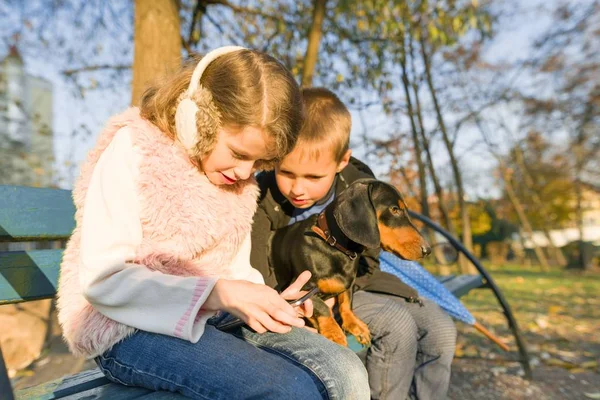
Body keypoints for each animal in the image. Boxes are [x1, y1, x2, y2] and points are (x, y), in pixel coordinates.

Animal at [268, 179, 432, 346]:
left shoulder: (348, 284)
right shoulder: (299, 289)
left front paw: (355, 325)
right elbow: (322, 307)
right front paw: (334, 333)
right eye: (394, 209)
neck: (333, 245)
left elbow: (346, 303)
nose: (427, 250)